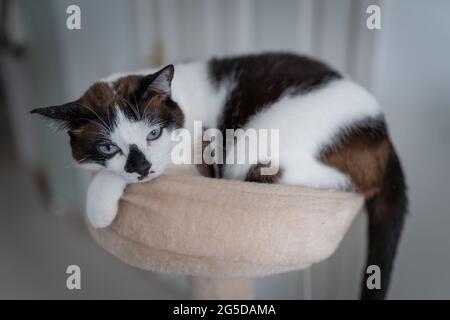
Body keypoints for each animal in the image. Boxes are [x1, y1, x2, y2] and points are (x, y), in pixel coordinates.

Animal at [30, 51, 408, 298]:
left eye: (153, 134)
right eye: (107, 147)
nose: (141, 168)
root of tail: (383, 132)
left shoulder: (195, 163)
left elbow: (128, 177)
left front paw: (100, 203)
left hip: (252, 144)